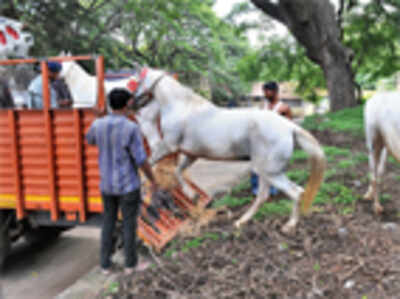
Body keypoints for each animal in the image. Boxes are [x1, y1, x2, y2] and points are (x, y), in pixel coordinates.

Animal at [134, 67, 324, 234]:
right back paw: (241, 222)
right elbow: (178, 171)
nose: (133, 101)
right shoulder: (192, 155)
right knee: (268, 195)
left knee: (294, 193)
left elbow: (150, 162)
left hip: (270, 173)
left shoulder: (168, 145)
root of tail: (289, 127)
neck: (183, 108)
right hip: (266, 172)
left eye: (137, 81)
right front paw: (192, 195)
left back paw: (288, 226)